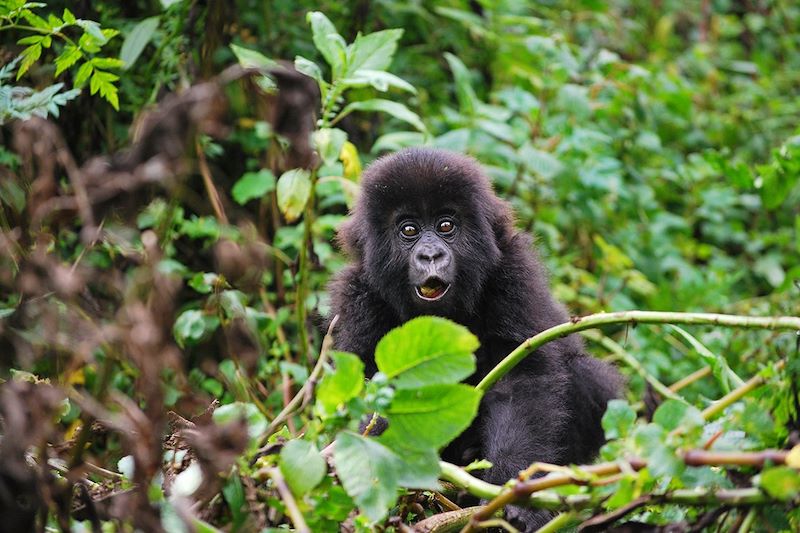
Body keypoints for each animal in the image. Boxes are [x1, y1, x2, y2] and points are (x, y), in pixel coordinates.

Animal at [328, 147, 620, 528]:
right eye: (409, 230)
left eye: (445, 226)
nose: (431, 255)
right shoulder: (357, 296)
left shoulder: (513, 272)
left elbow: (521, 380)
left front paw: (516, 495)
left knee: (588, 376)